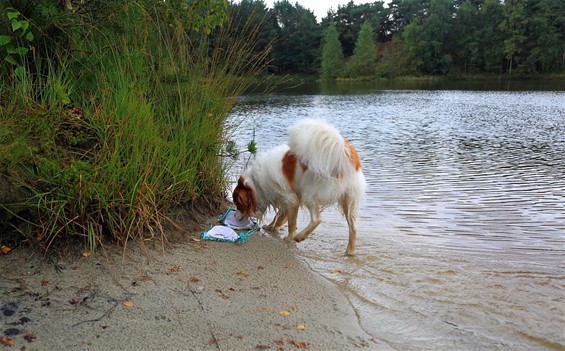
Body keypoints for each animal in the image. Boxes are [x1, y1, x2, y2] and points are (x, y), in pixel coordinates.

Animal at [232, 119, 366, 256]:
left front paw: (289, 237)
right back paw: (349, 252)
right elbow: (280, 216)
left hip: (309, 193)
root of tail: (343, 156)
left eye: (237, 204)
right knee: (353, 228)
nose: (234, 216)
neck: (256, 183)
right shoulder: (287, 198)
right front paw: (272, 227)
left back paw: (300, 237)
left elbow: (291, 222)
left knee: (316, 219)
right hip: (349, 202)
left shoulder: (290, 198)